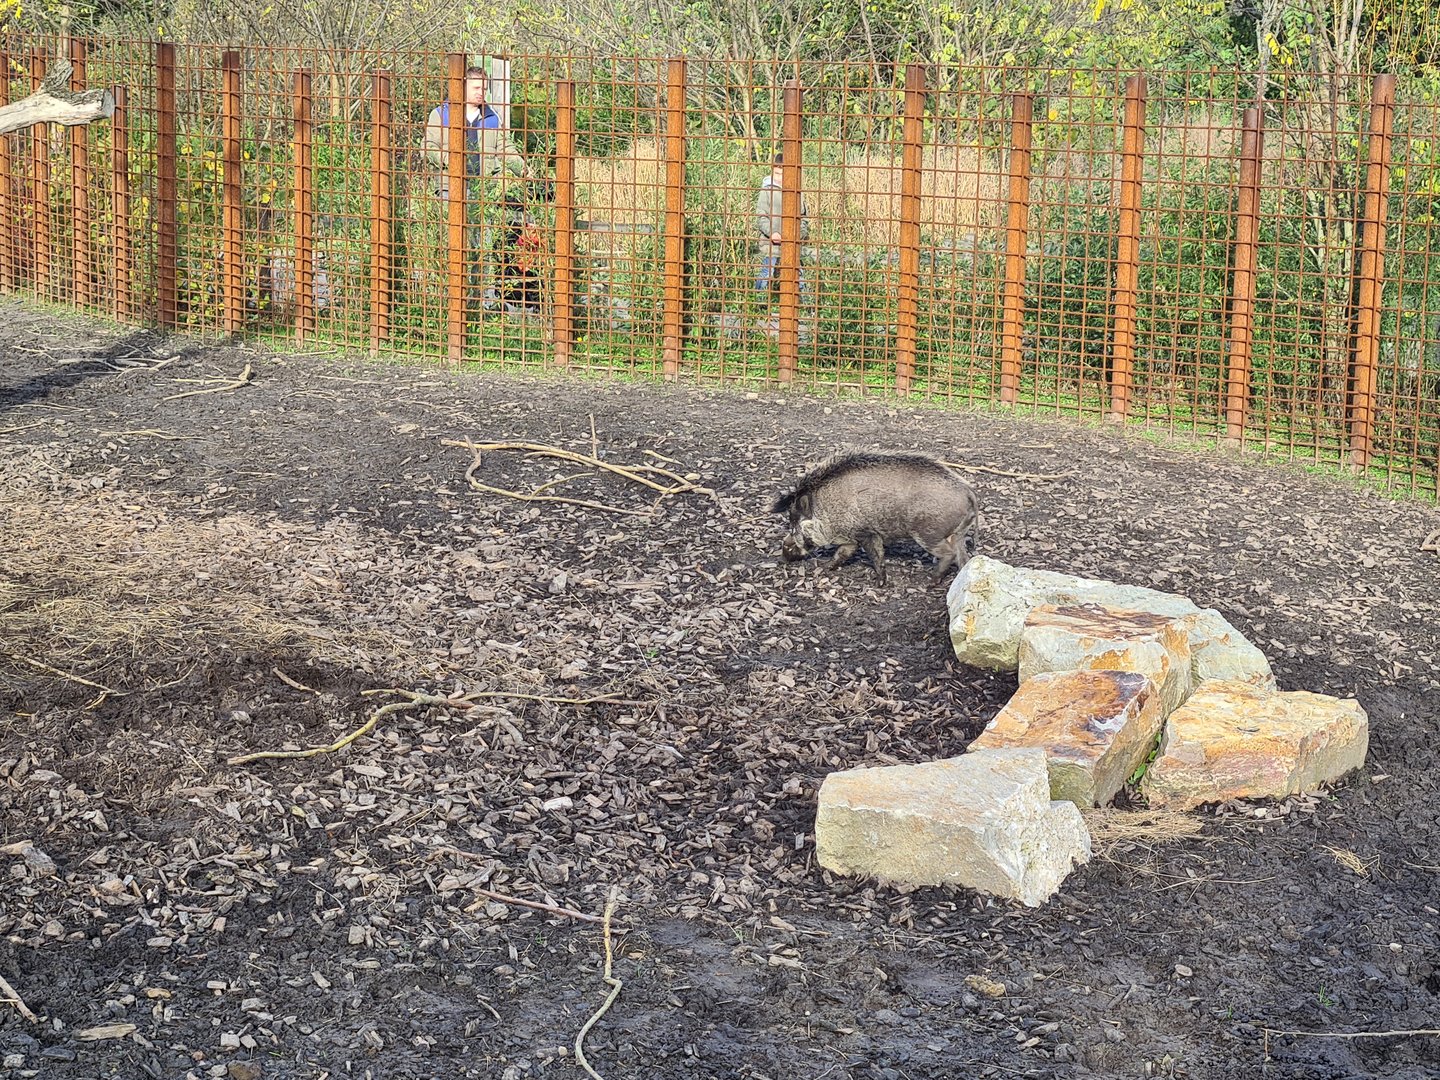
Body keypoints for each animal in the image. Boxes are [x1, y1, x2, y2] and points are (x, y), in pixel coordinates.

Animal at [772, 451, 980, 585]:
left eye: (794, 523)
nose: (781, 558)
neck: (828, 508)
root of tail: (969, 491)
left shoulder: (867, 533)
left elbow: (876, 555)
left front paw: (879, 583)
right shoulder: (851, 539)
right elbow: (841, 554)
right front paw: (826, 568)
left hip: (928, 533)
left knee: (948, 554)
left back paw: (930, 582)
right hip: (958, 534)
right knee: (964, 558)